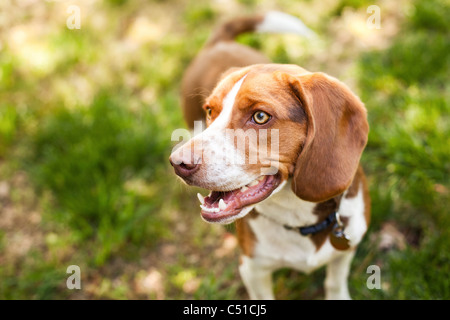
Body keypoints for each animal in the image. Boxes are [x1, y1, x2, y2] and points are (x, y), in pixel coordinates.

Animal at [171, 11, 370, 300]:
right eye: (210, 111)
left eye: (260, 116)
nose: (177, 163)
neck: (297, 214)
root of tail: (219, 42)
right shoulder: (253, 269)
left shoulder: (347, 246)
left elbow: (335, 282)